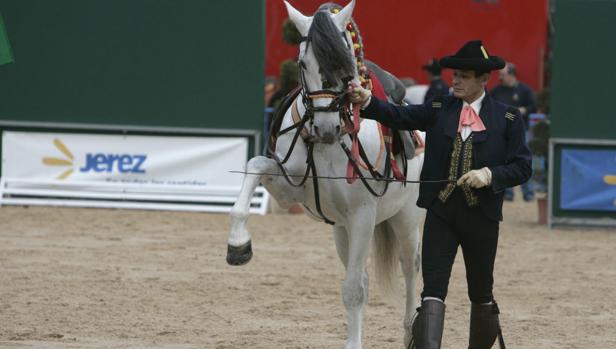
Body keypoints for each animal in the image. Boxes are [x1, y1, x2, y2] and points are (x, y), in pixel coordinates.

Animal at [229, 1, 426, 346]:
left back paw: (410, 332)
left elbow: (353, 291)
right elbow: (254, 165)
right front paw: (238, 244)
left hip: (404, 220)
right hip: (342, 230)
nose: (325, 127)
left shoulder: (363, 214)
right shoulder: (288, 190)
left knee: (409, 268)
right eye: (301, 62)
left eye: (345, 62)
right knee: (363, 275)